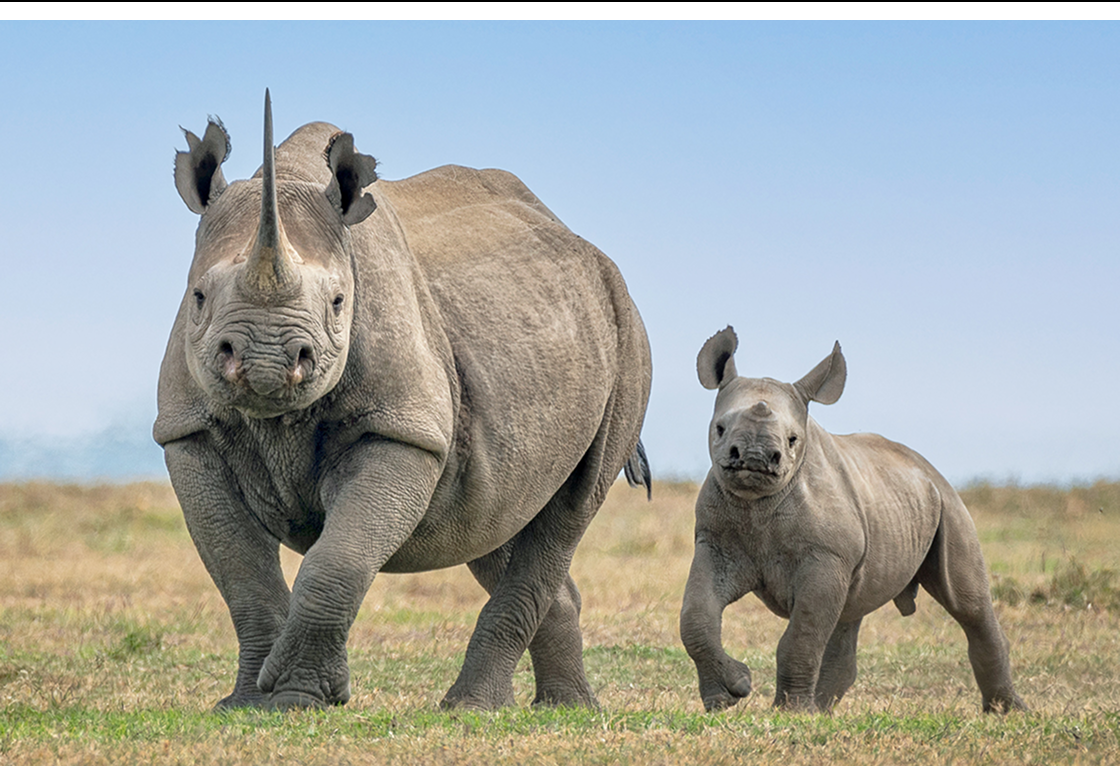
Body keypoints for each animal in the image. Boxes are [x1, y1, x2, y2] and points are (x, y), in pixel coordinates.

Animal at [155, 92, 651, 711]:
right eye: (198, 297)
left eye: (340, 303)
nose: (265, 361)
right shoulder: (187, 429)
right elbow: (240, 571)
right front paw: (247, 705)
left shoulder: (403, 428)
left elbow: (337, 561)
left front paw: (298, 698)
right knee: (494, 517)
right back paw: (561, 709)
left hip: (627, 330)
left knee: (570, 507)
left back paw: (473, 710)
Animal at [679, 327, 1025, 714]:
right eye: (720, 429)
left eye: (793, 439)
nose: (755, 457)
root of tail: (924, 465)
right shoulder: (715, 543)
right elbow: (696, 617)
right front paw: (728, 695)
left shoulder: (826, 556)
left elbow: (803, 634)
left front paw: (790, 712)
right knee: (848, 614)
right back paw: (822, 711)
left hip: (949, 503)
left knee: (969, 604)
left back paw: (1007, 712)